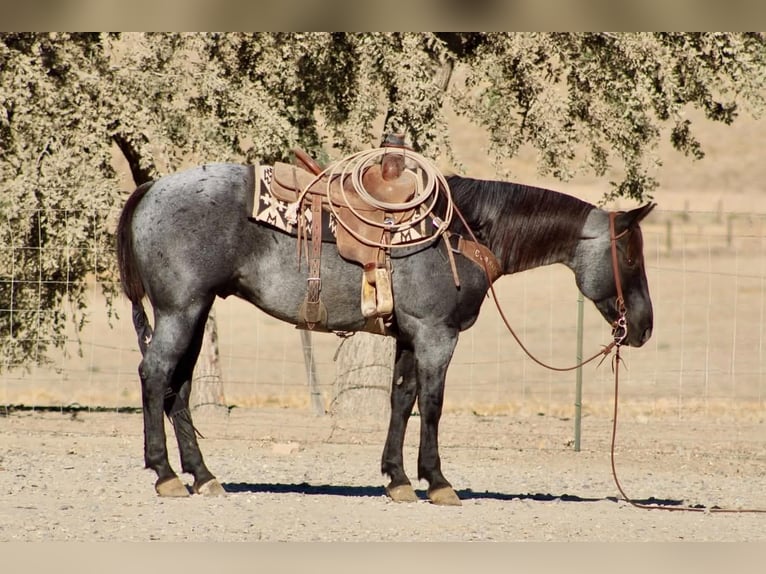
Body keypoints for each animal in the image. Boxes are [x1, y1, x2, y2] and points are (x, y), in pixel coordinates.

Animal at [115, 161, 655, 505]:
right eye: (630, 255)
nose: (644, 326)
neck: (462, 231)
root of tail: (152, 188)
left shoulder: (410, 336)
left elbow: (402, 399)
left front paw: (397, 480)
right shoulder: (438, 335)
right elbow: (432, 405)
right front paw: (437, 482)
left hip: (196, 310)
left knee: (179, 387)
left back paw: (203, 476)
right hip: (181, 310)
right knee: (155, 375)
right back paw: (165, 474)